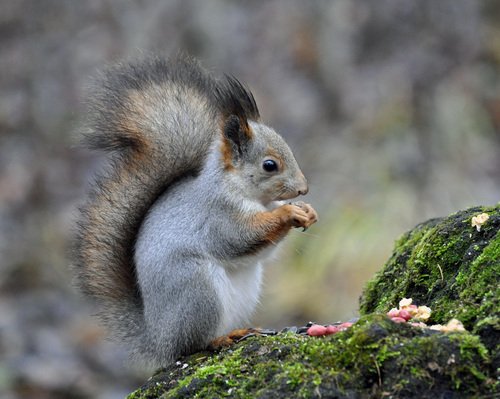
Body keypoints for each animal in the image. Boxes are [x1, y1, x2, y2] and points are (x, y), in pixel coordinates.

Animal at [73, 54, 316, 368]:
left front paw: (306, 211)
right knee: (193, 345)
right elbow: (239, 238)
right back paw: (222, 338)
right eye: (269, 165)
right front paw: (287, 214)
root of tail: (159, 339)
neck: (249, 195)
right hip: (197, 289)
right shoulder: (215, 215)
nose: (303, 189)